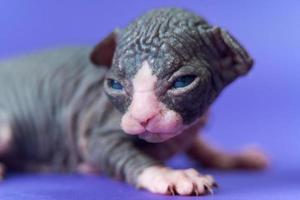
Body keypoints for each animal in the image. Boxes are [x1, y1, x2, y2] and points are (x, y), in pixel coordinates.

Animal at [0, 8, 268, 196]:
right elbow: (131, 157)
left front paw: (234, 157)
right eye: (114, 85)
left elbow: (201, 146)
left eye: (183, 82)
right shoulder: (99, 132)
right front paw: (172, 176)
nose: (142, 117)